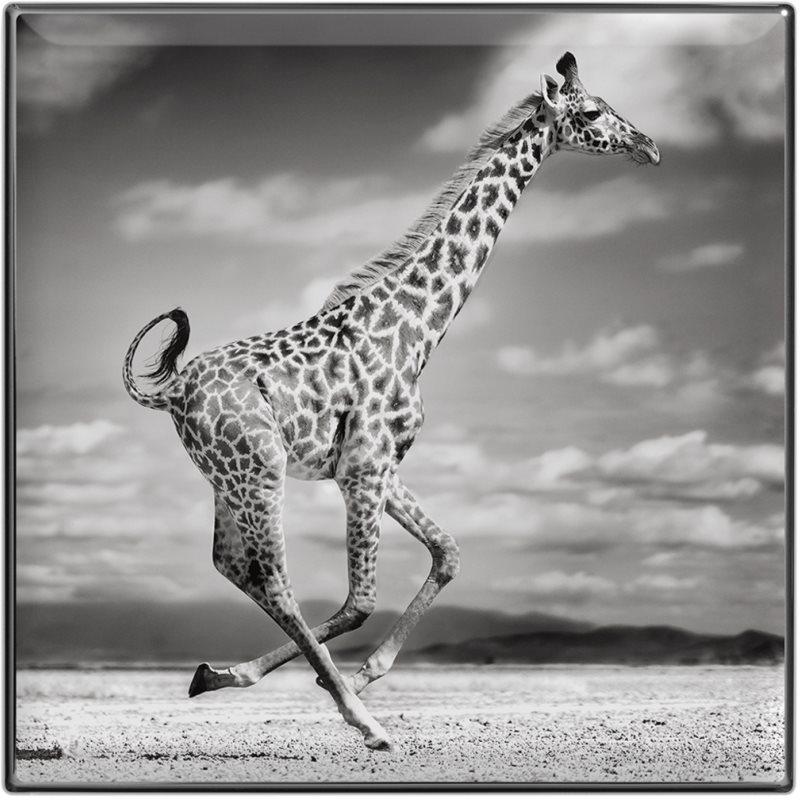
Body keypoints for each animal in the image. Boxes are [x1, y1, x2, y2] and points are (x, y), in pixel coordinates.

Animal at [123, 52, 659, 751]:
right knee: (274, 578)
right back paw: (364, 721)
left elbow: (448, 553)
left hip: (227, 478)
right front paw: (353, 691)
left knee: (232, 565)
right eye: (591, 111)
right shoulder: (363, 469)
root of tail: (172, 392)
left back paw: (219, 675)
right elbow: (360, 600)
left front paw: (358, 673)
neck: (419, 327)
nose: (650, 146)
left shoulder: (379, 465)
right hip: (259, 471)